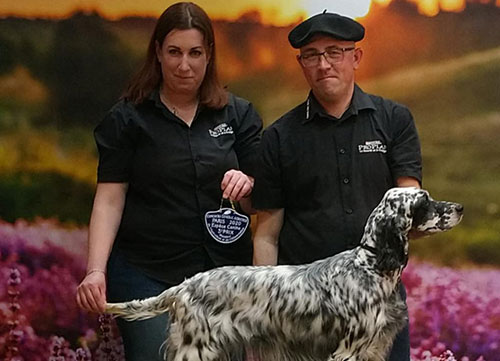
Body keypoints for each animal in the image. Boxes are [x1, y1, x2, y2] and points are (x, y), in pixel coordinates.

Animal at [107, 187, 462, 360]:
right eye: (425, 202)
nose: (460, 208)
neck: (370, 265)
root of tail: (184, 286)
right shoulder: (349, 350)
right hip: (196, 350)